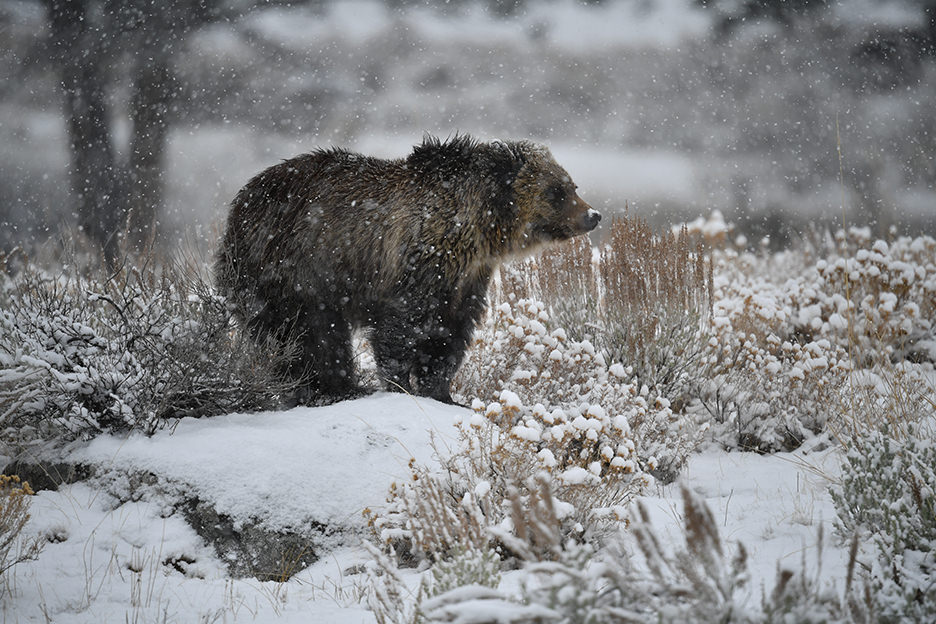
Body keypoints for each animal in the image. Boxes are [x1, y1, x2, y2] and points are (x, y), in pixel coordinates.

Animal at [217, 135, 604, 404]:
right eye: (556, 191)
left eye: (572, 185)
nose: (593, 214)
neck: (479, 229)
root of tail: (236, 208)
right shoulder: (421, 261)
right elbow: (402, 328)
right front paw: (400, 385)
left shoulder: (467, 278)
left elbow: (451, 334)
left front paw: (443, 392)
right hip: (292, 269)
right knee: (304, 336)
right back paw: (329, 388)